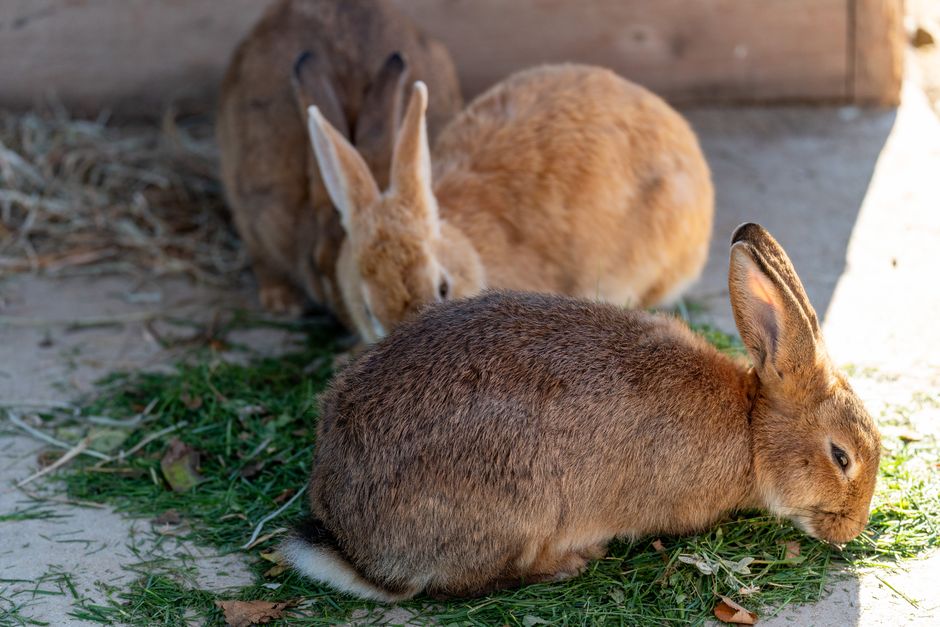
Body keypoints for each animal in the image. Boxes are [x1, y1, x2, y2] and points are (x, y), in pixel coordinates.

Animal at [281, 223, 881, 601]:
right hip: (518, 509)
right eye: (840, 456)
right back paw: (570, 561)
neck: (752, 429)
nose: (851, 530)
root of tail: (354, 546)